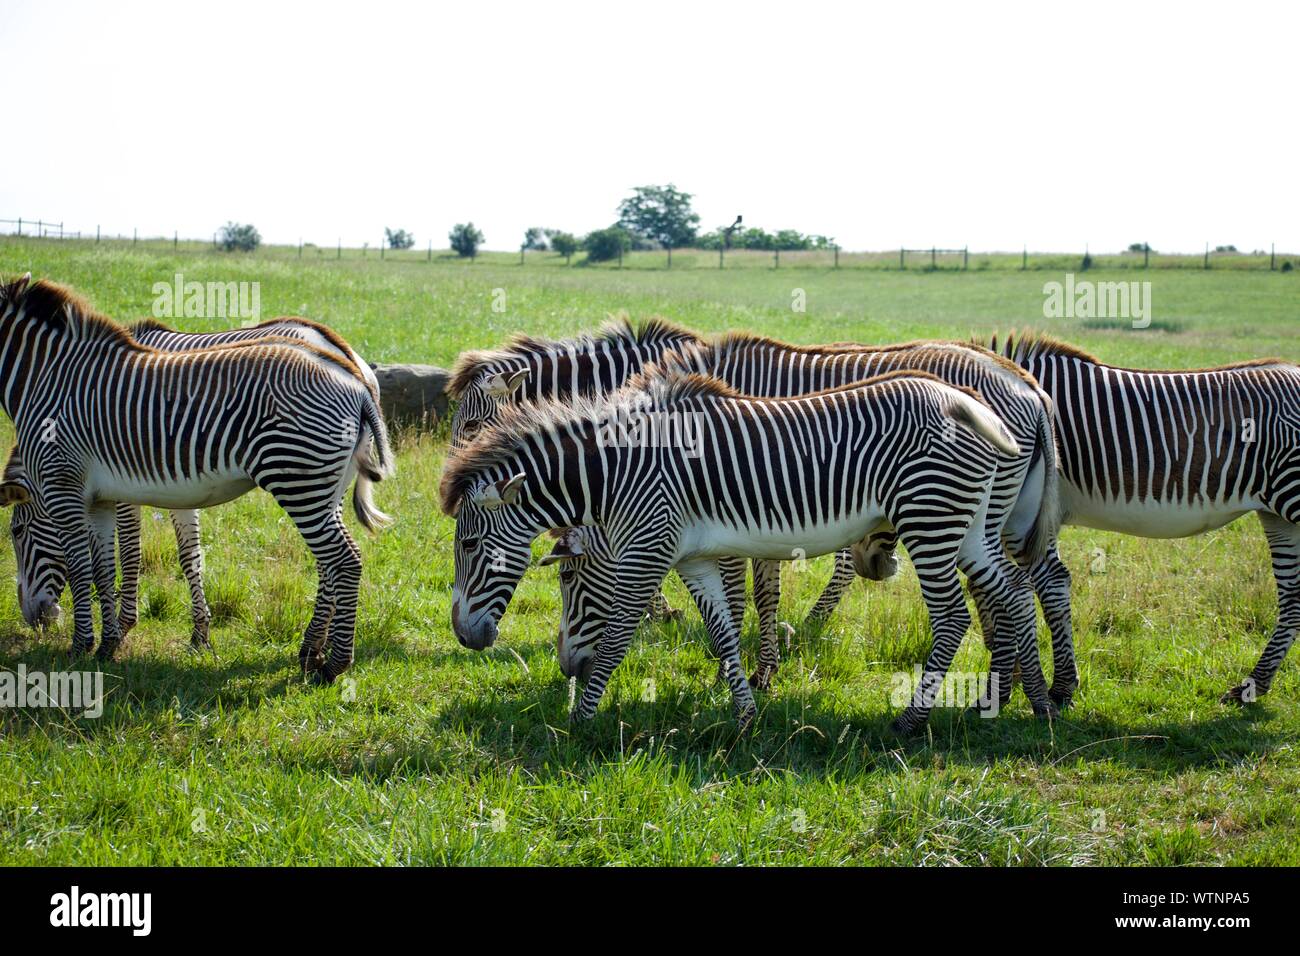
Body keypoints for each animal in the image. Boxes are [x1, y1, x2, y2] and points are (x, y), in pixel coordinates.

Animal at [0, 274, 390, 681]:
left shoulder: (103, 489)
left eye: (17, 531)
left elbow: (118, 557)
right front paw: (195, 636)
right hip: (328, 486)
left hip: (300, 480)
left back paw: (330, 662)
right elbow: (180, 557)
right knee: (328, 561)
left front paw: (113, 633)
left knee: (341, 558)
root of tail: (351, 368)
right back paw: (312, 650)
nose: (33, 619)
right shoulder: (163, 489)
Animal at [441, 361, 1060, 733]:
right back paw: (1025, 703)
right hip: (970, 523)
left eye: (469, 544)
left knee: (955, 614)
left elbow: (616, 639)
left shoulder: (646, 554)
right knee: (1011, 591)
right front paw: (744, 715)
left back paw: (911, 720)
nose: (466, 637)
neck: (619, 472)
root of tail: (969, 399)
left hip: (929, 518)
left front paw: (580, 724)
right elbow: (721, 631)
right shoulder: (693, 558)